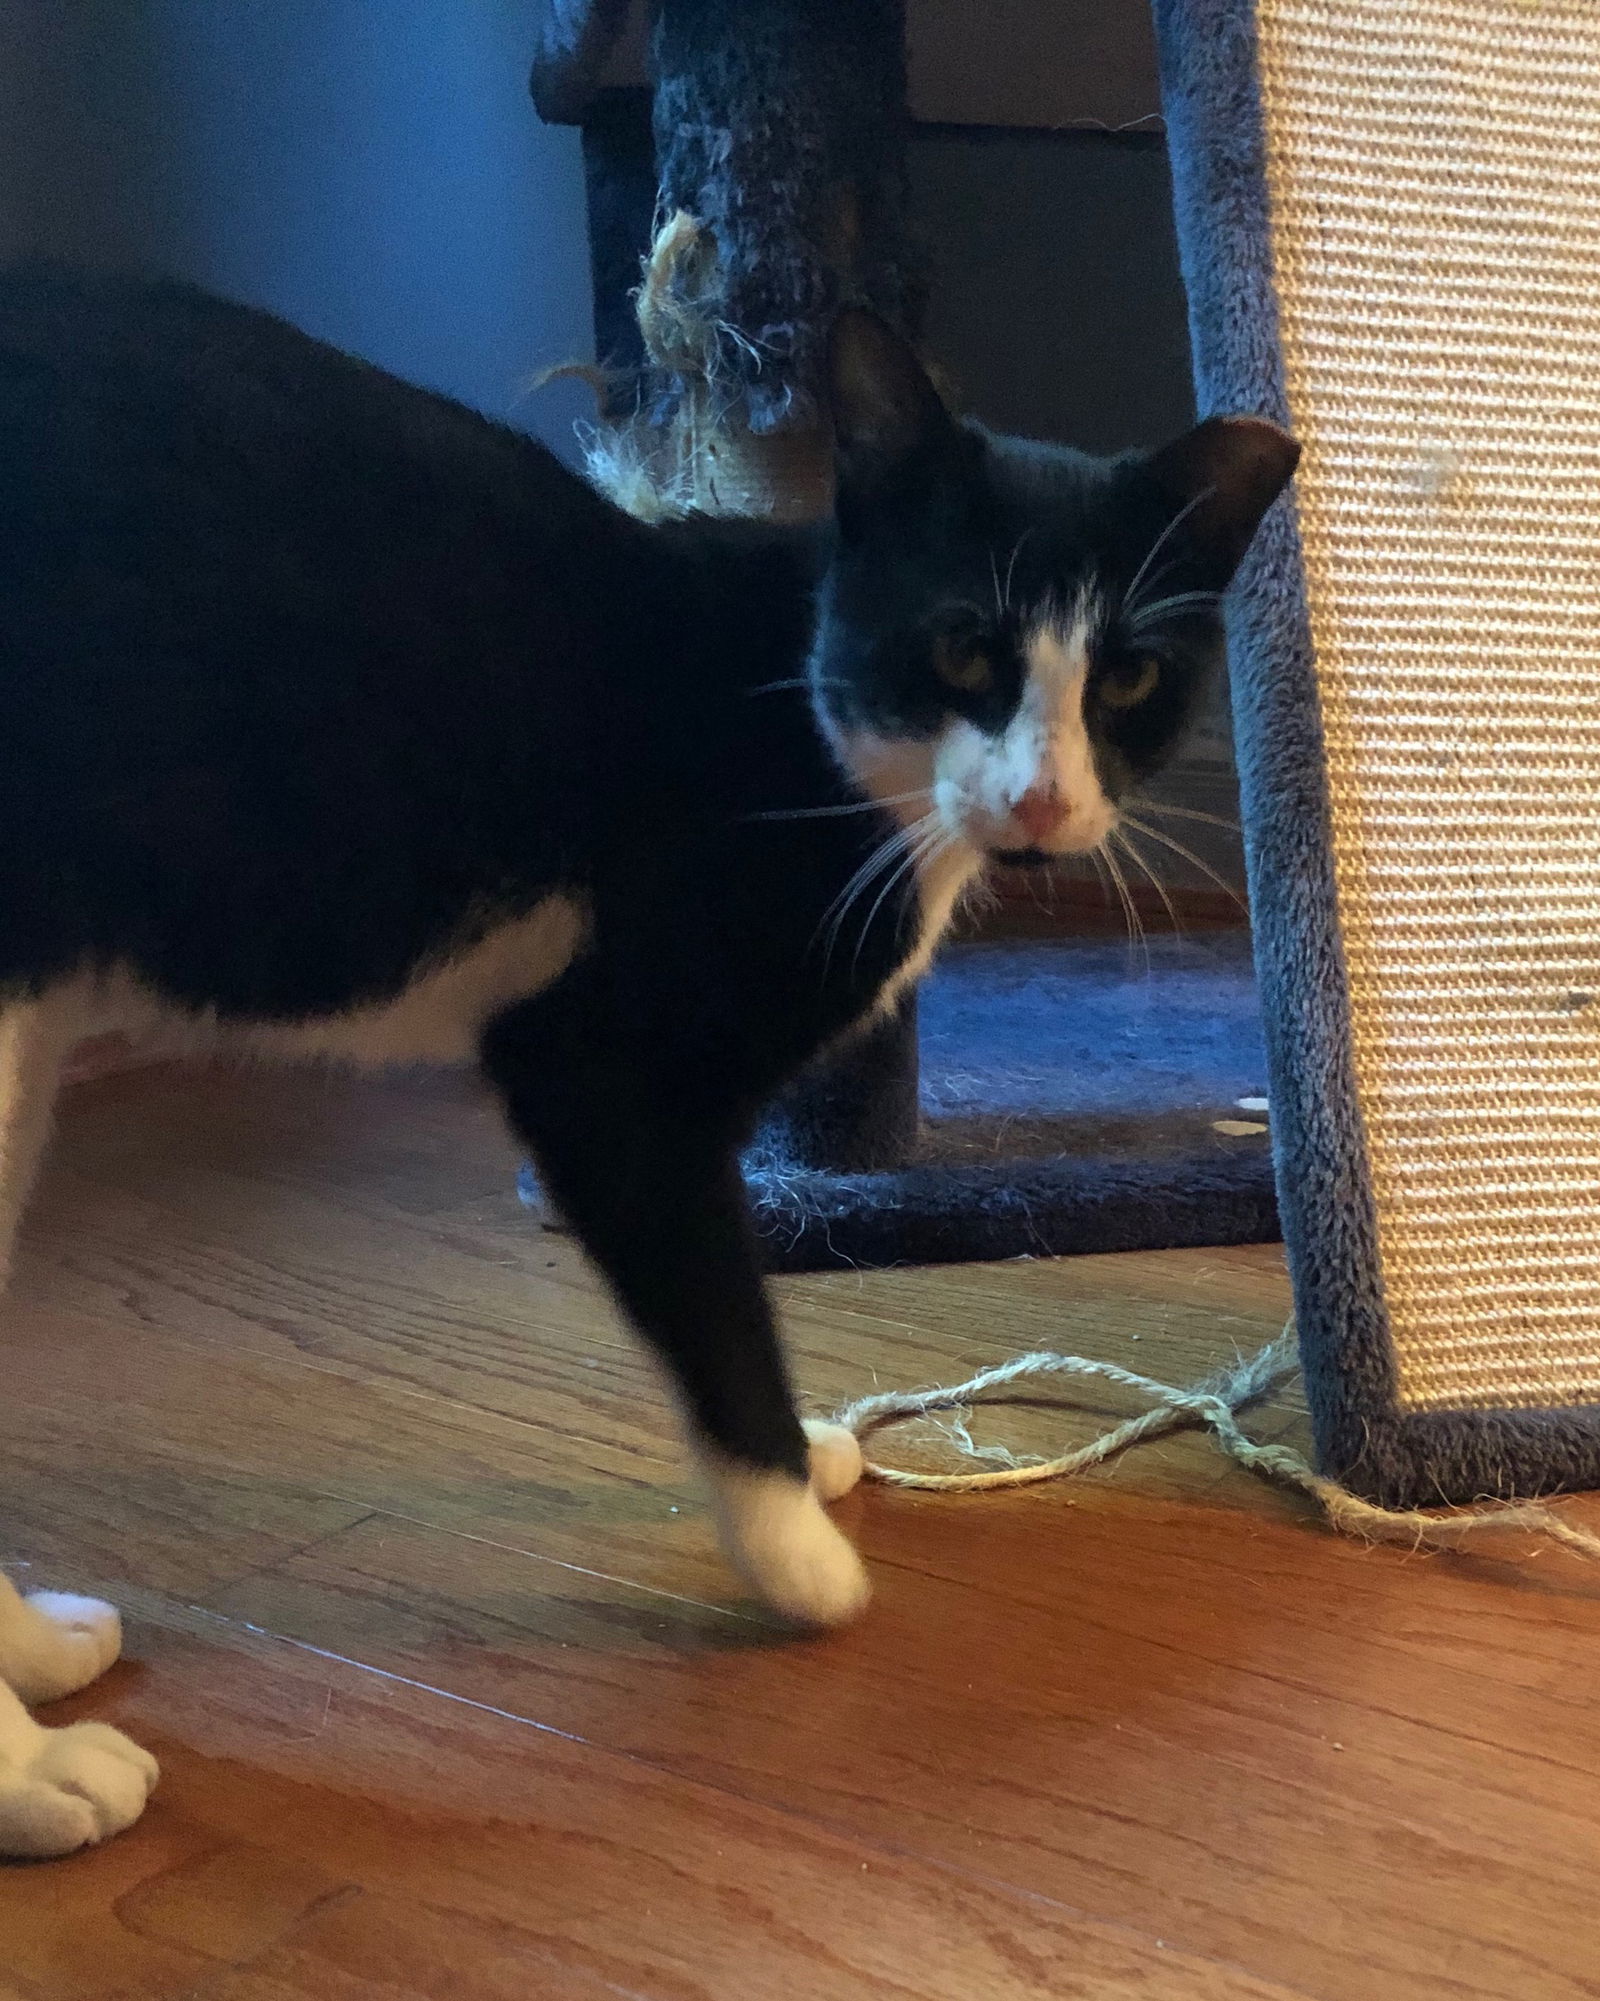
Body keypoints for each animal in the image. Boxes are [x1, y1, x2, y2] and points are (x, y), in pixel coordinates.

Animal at [0, 270, 1296, 1856]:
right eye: (962, 650)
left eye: (1127, 678)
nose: (1042, 801)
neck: (808, 723)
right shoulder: (604, 1075)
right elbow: (720, 1314)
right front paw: (797, 1548)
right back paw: (35, 1778)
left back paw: (39, 1650)